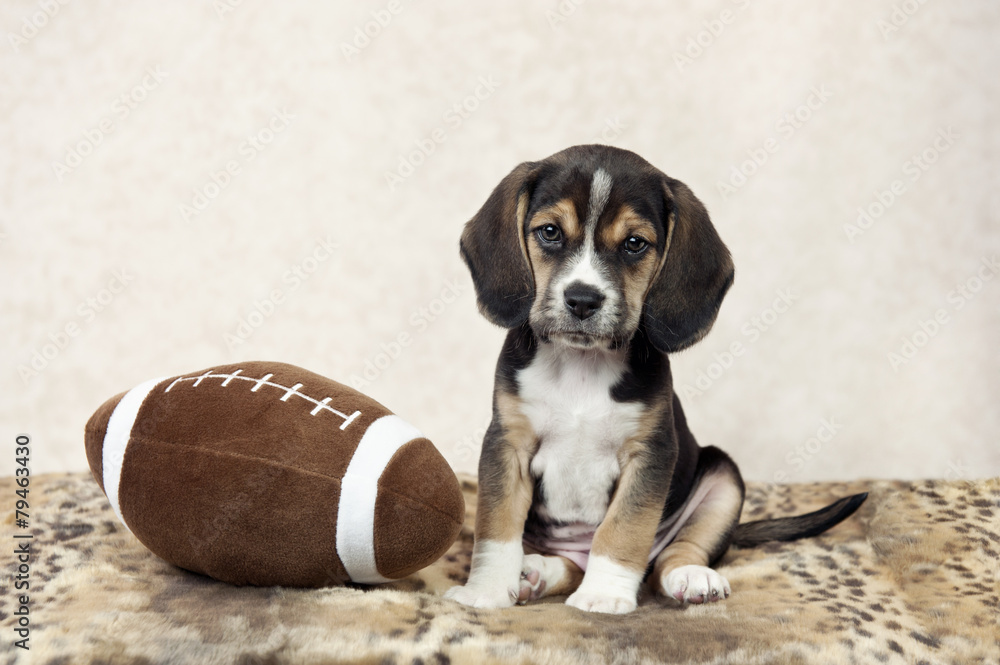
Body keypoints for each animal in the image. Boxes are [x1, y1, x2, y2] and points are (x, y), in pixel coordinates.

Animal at [446, 144, 868, 612]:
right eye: (550, 232)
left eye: (634, 244)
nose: (582, 300)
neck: (582, 364)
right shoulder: (506, 445)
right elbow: (497, 529)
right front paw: (485, 591)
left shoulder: (650, 454)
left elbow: (623, 531)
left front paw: (603, 595)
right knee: (570, 563)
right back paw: (535, 572)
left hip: (724, 476)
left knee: (670, 557)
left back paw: (691, 576)